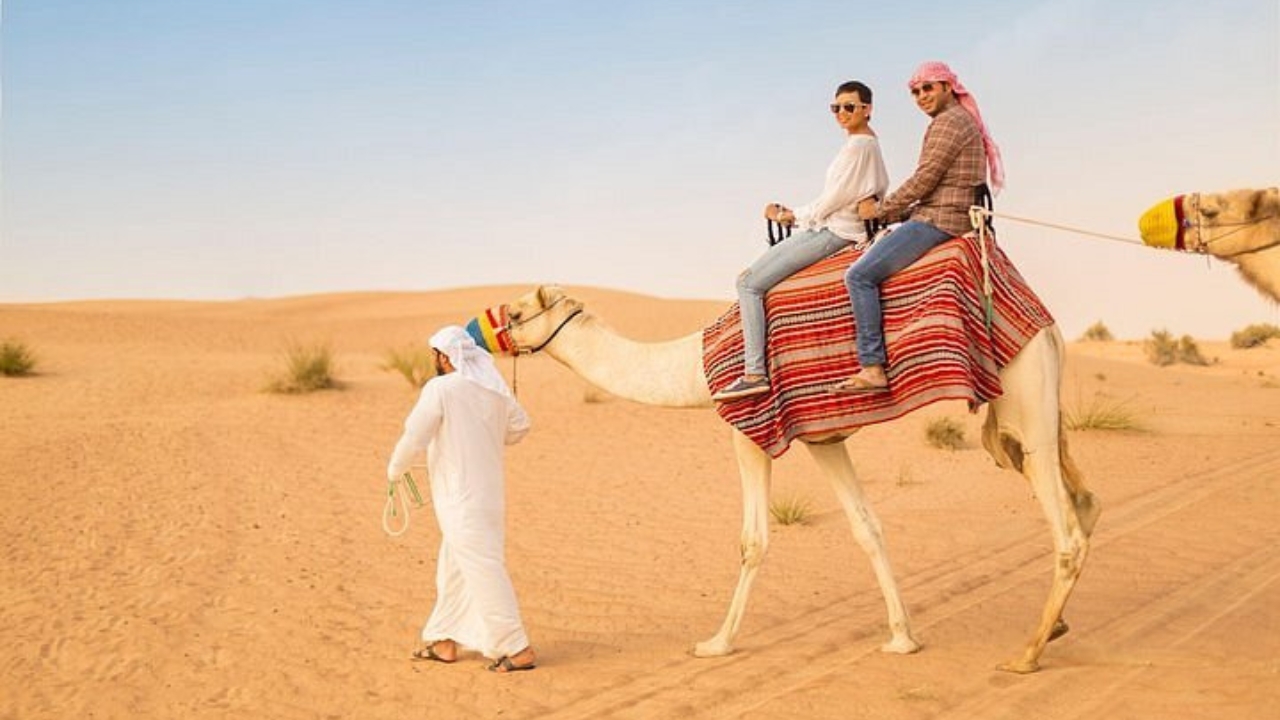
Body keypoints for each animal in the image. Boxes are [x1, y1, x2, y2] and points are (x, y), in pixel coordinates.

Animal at [499, 283, 1100, 671]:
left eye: (515, 312)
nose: (492, 327)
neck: (695, 366)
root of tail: (1049, 327)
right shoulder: (823, 439)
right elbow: (867, 527)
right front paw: (902, 637)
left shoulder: (749, 430)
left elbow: (753, 541)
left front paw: (716, 643)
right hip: (1035, 413)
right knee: (1086, 501)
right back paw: (1057, 626)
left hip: (1025, 401)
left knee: (1066, 528)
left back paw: (1027, 653)